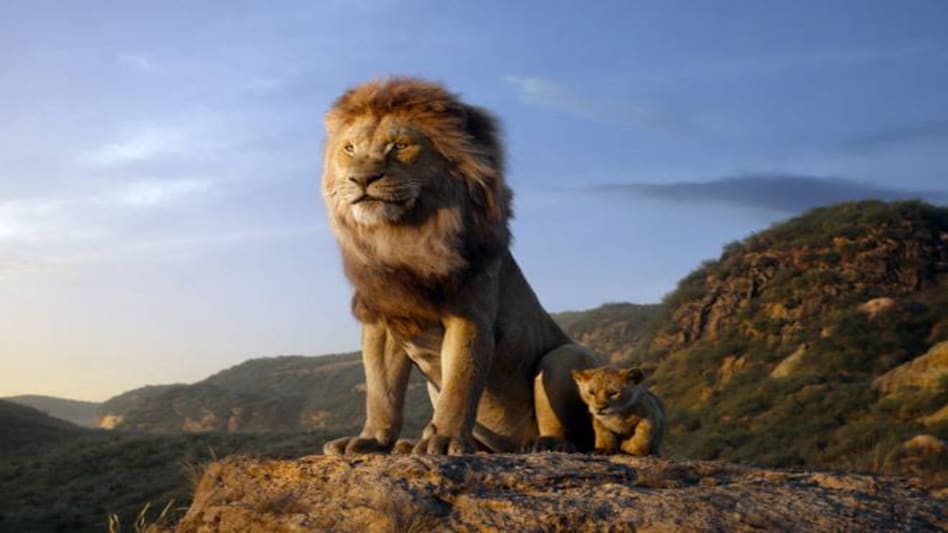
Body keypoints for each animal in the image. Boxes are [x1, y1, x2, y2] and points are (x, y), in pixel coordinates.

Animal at [320, 77, 600, 455]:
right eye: (349, 149)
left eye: (399, 146)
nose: (361, 179)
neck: (401, 237)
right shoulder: (383, 321)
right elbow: (381, 392)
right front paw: (370, 440)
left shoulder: (469, 316)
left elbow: (460, 386)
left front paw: (444, 440)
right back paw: (412, 444)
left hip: (565, 357)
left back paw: (546, 444)